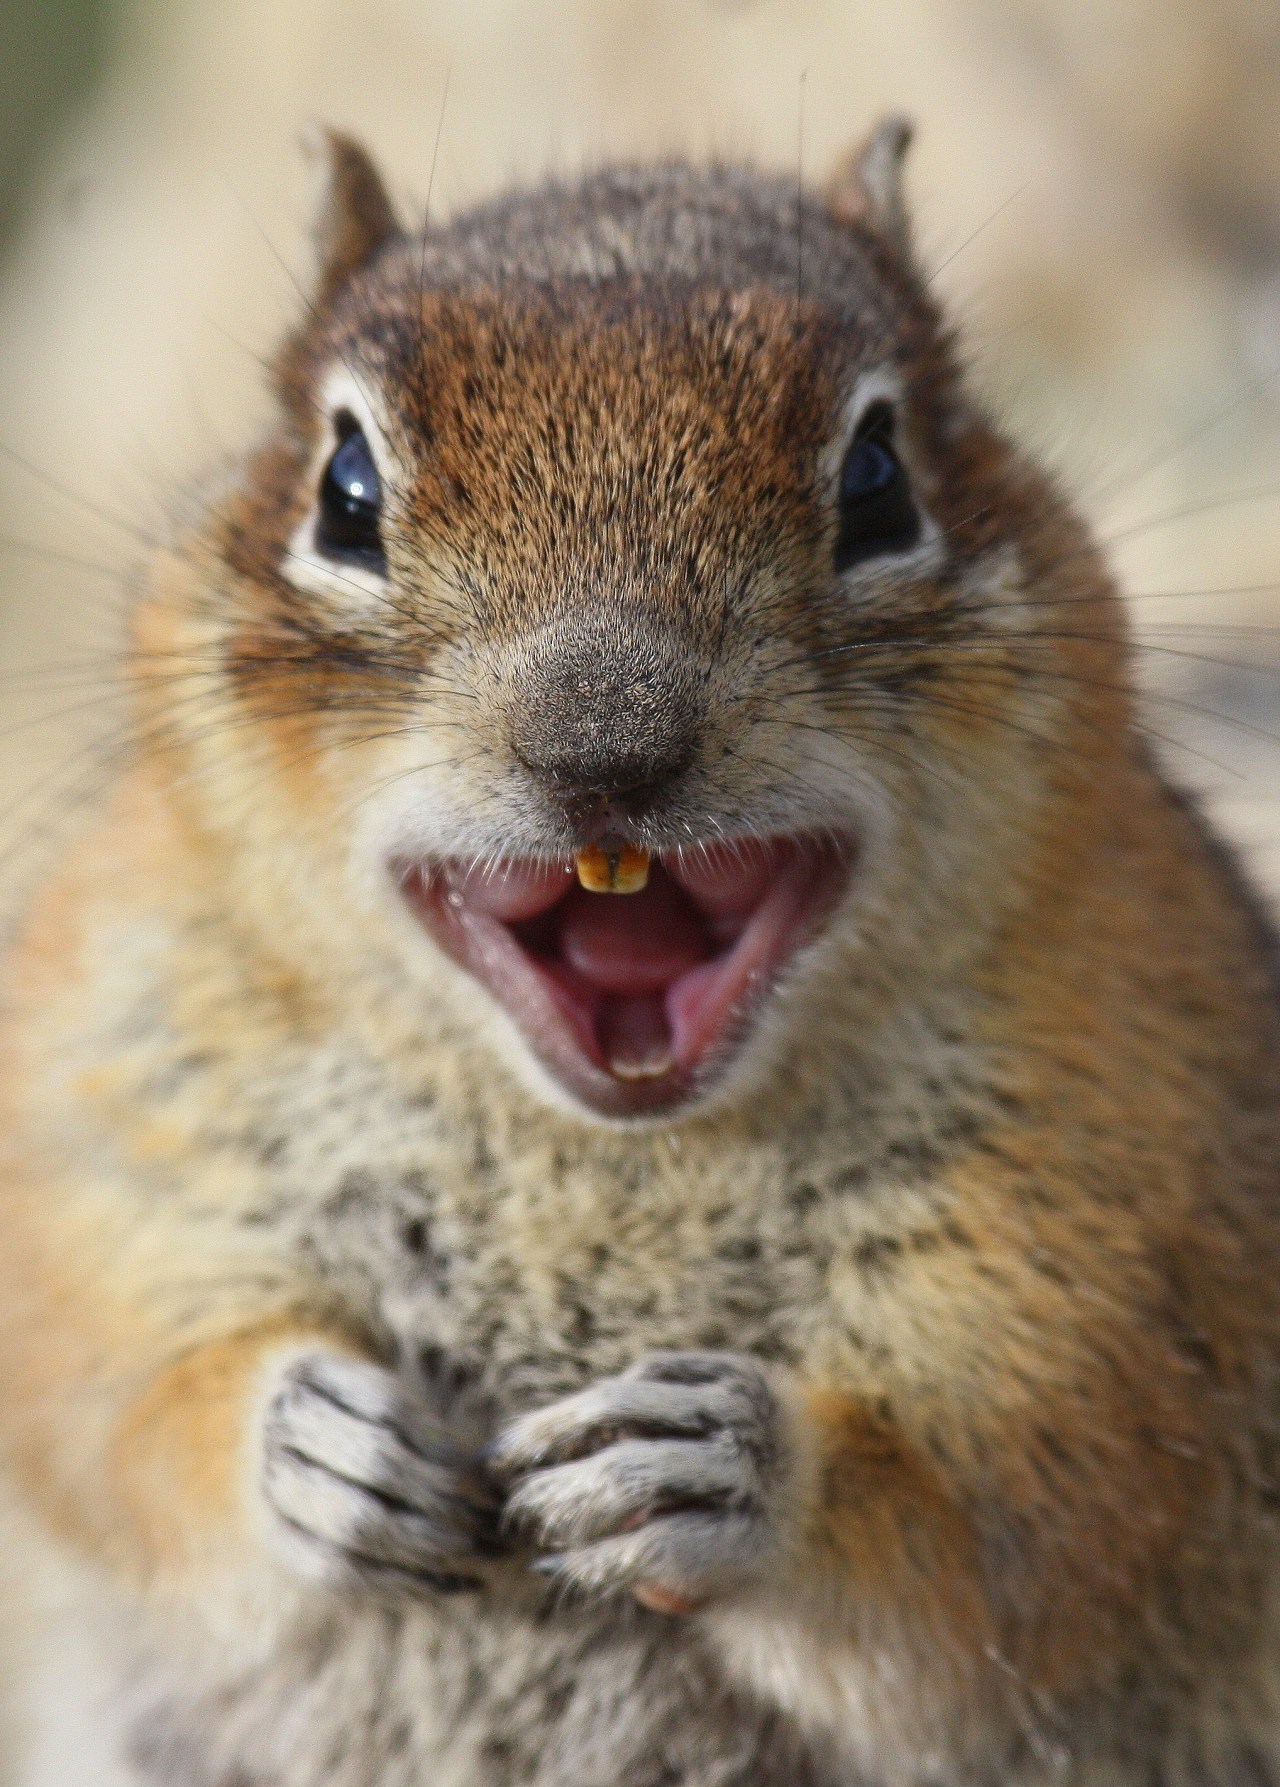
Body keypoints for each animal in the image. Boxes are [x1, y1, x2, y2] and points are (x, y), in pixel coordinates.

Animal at [2, 115, 1280, 1787]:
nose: (604, 745)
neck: (601, 1155)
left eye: (882, 476)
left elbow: (1005, 1530)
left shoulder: (1132, 1263)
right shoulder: (98, 1126)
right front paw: (314, 1440)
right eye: (343, 488)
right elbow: (106, 1405)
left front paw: (733, 1470)